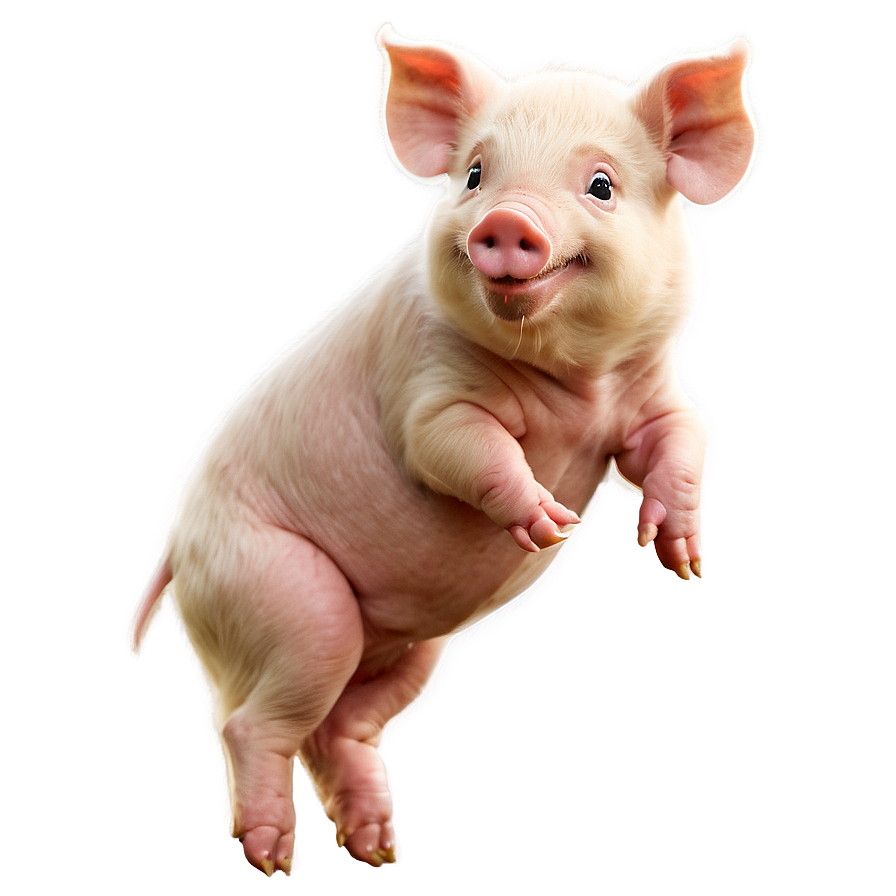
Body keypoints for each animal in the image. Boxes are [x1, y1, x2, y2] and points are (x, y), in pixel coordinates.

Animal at [129, 23, 755, 877]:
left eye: (600, 185)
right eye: (475, 176)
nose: (507, 221)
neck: (579, 390)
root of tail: (177, 551)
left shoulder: (652, 393)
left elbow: (684, 439)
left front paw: (680, 556)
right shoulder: (426, 390)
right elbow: (459, 446)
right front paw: (549, 522)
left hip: (406, 649)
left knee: (335, 728)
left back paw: (376, 849)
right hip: (281, 595)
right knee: (251, 724)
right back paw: (272, 857)